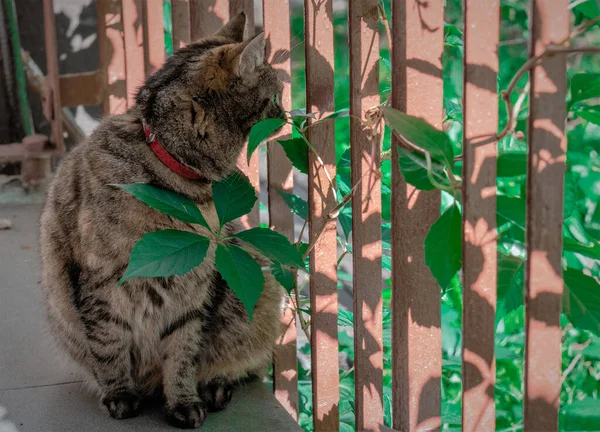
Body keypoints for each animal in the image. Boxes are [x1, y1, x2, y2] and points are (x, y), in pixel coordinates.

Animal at [39, 13, 286, 428]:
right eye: (277, 95)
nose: (287, 115)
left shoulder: (194, 288)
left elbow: (182, 354)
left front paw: (183, 401)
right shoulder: (98, 283)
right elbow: (109, 346)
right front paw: (121, 395)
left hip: (257, 290)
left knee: (239, 363)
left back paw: (215, 387)